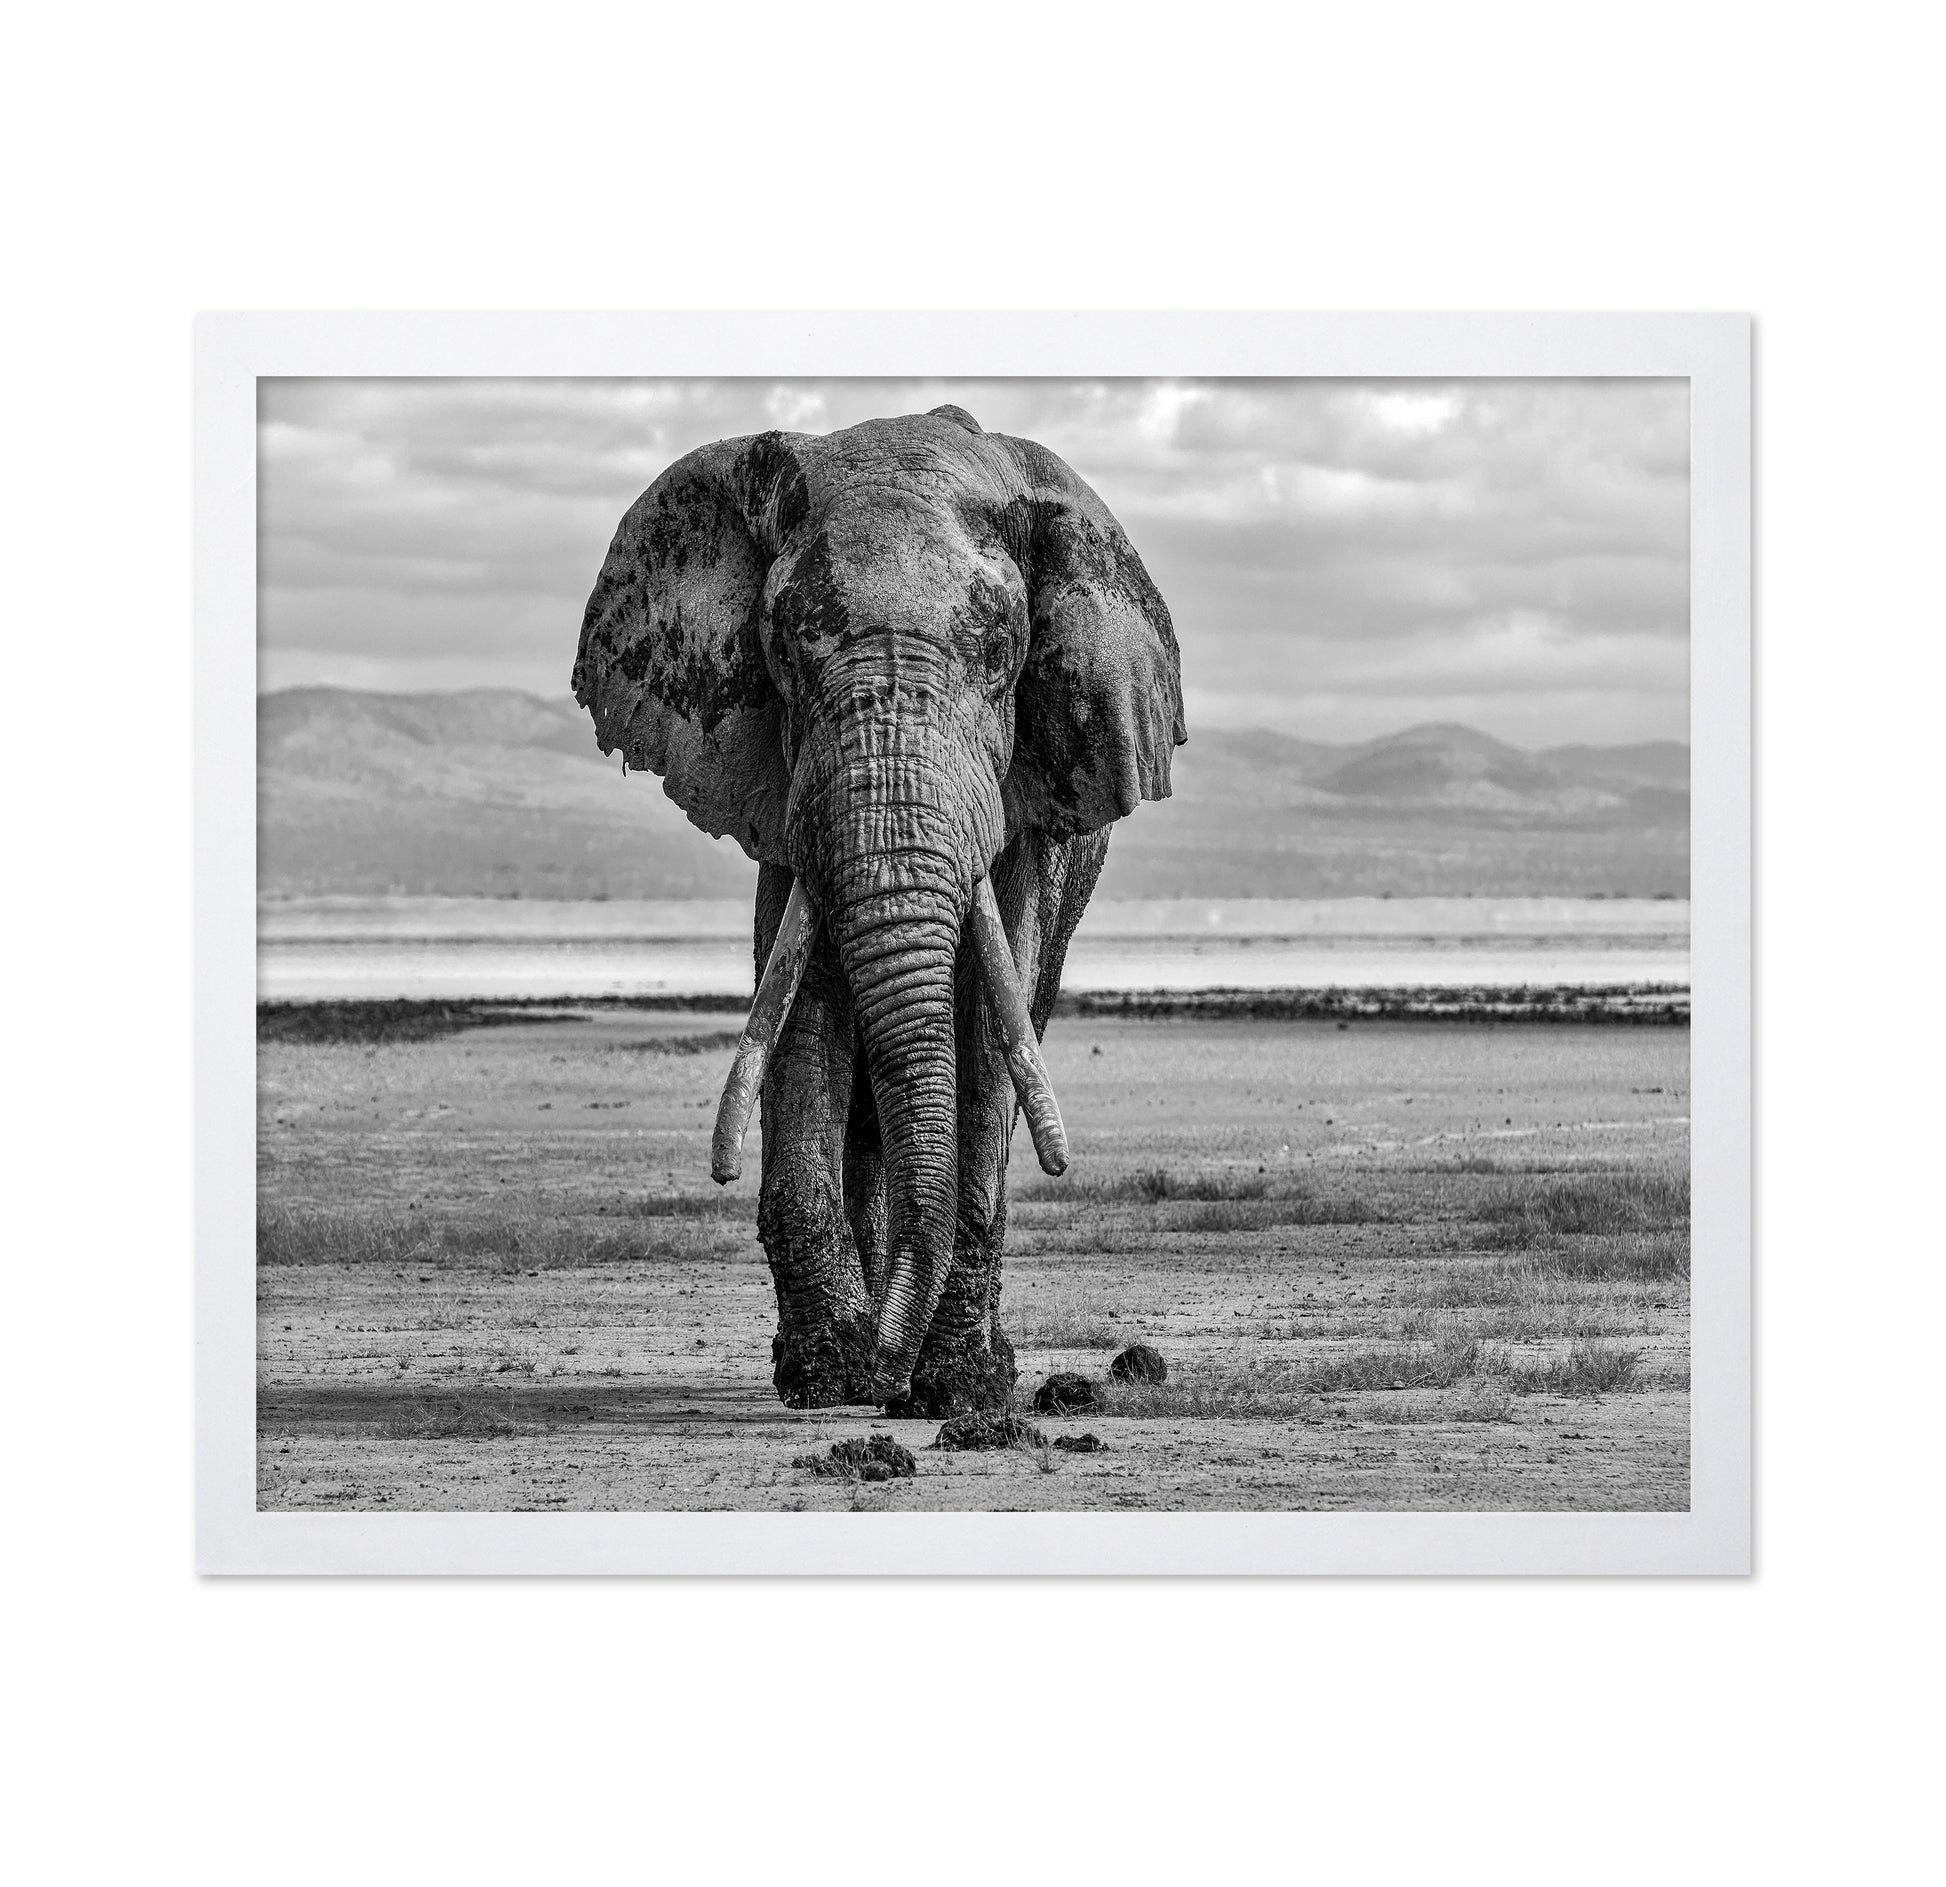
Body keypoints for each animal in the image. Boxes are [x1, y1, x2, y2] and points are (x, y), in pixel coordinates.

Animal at [571, 404, 1184, 1416]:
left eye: (1002, 656)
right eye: (782, 652)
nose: (884, 1378)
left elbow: (988, 1020)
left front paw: (957, 1390)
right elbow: (802, 1007)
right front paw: (827, 1376)